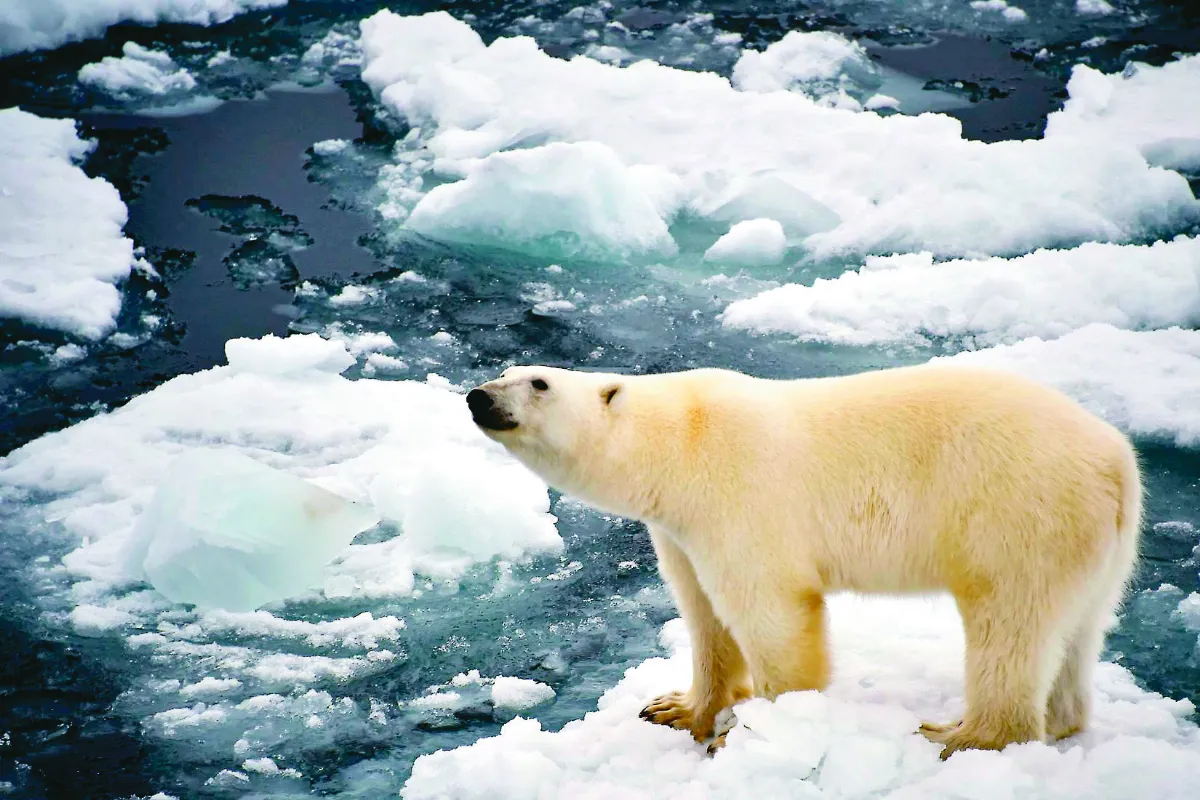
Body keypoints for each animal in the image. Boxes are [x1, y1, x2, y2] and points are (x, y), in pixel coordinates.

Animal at [466, 363, 1142, 759]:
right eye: (503, 371)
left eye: (538, 383)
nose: (476, 397)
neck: (680, 443)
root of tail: (1117, 460)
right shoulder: (680, 529)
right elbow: (702, 613)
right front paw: (676, 708)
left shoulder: (739, 493)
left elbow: (770, 613)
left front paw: (764, 730)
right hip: (1097, 546)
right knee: (1076, 628)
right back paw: (1058, 721)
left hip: (1017, 513)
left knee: (1010, 623)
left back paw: (965, 735)